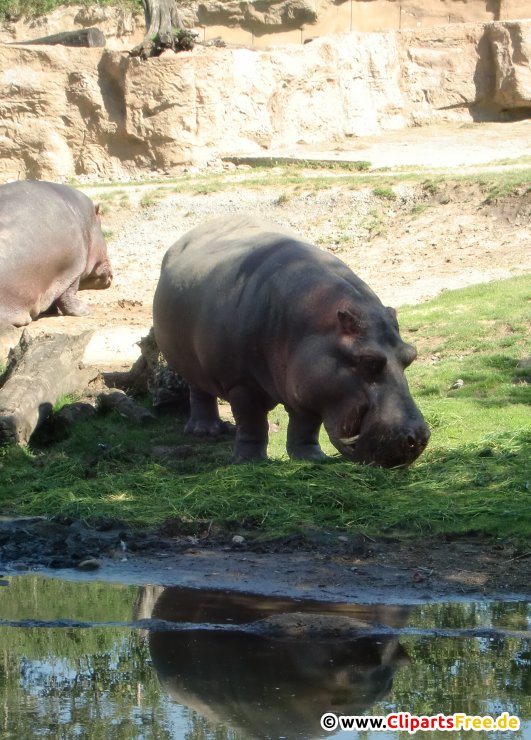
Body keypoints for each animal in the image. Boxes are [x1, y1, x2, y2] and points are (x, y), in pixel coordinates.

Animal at [153, 216, 429, 467]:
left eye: (410, 355)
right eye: (369, 361)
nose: (417, 438)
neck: (315, 325)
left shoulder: (308, 385)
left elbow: (306, 425)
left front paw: (312, 459)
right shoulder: (241, 382)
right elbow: (252, 422)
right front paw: (249, 461)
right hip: (190, 362)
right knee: (200, 391)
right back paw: (207, 432)